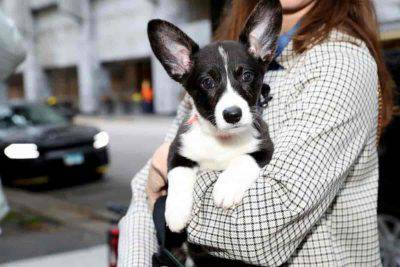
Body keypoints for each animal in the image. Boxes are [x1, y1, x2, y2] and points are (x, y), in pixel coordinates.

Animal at [147, 0, 282, 234]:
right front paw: (175, 211)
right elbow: (179, 175)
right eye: (207, 82)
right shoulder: (177, 151)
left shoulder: (264, 147)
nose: (233, 115)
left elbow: (243, 159)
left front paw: (226, 187)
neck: (222, 140)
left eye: (247, 76)